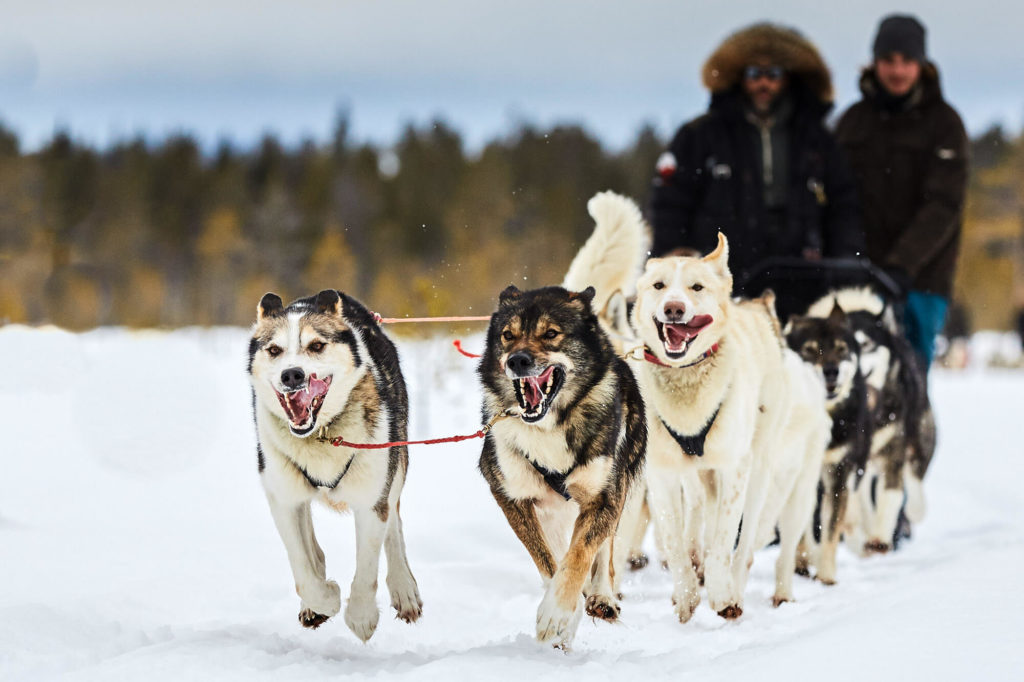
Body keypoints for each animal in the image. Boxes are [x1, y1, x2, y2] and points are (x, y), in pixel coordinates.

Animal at [247, 286, 419, 638]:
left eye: (316, 346)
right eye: (274, 350)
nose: (292, 374)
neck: (321, 435)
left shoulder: (371, 499)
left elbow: (367, 565)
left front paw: (361, 615)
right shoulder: (283, 498)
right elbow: (303, 569)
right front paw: (324, 599)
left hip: (395, 465)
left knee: (394, 527)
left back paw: (404, 589)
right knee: (312, 546)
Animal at [475, 280, 643, 647]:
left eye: (551, 333)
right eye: (508, 335)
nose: (517, 360)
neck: (550, 425)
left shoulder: (605, 496)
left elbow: (581, 554)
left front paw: (558, 613)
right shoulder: (511, 494)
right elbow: (549, 560)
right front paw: (566, 613)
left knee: (605, 551)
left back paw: (602, 595)